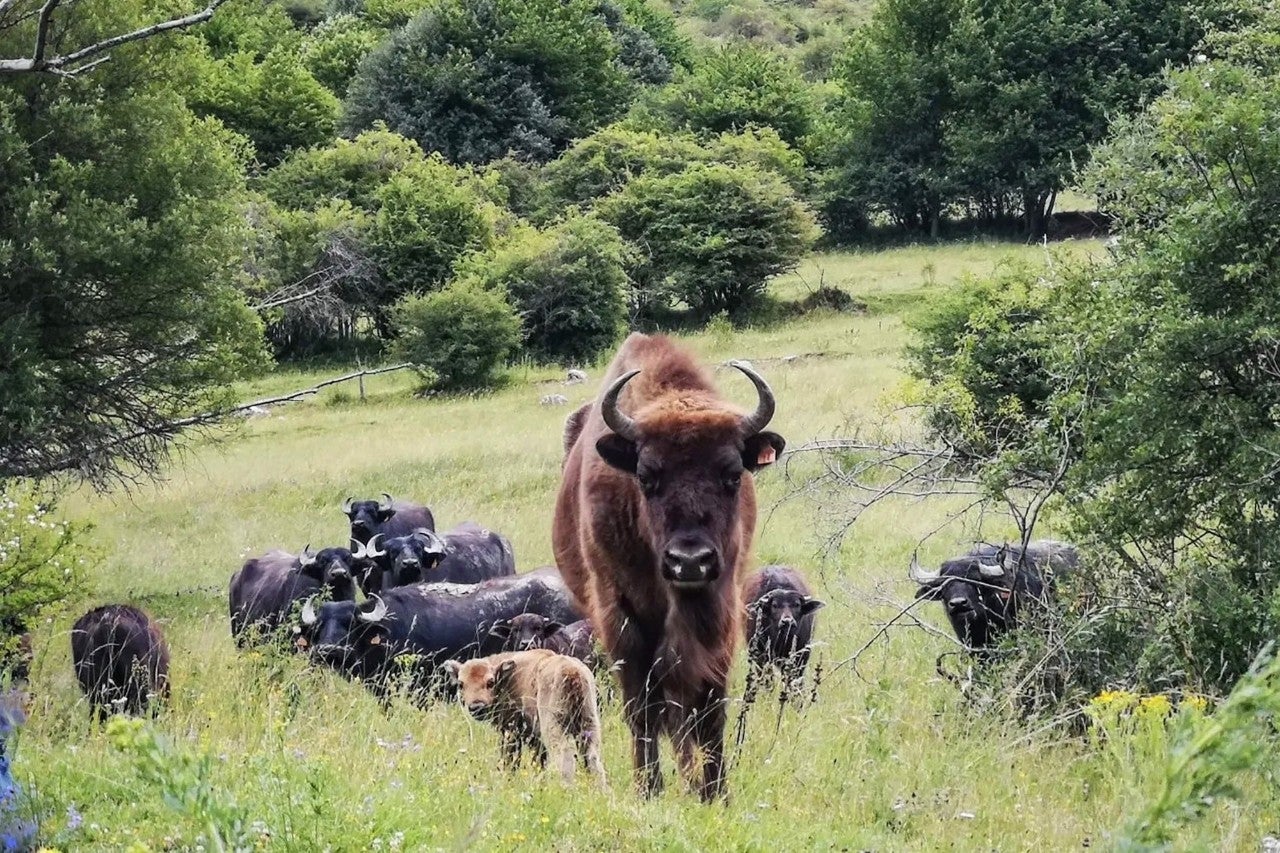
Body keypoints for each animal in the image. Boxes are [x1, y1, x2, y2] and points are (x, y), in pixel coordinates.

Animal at [445, 650, 609, 783]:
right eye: (461, 684)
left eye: (490, 682)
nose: (476, 706)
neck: (506, 680)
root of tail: (571, 671)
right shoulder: (536, 740)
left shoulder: (510, 731)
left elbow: (510, 760)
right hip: (589, 721)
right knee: (592, 758)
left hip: (554, 725)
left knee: (564, 756)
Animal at [550, 333, 778, 799]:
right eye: (646, 476)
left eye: (732, 475)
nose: (689, 562)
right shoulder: (621, 617)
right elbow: (642, 708)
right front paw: (649, 788)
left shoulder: (721, 612)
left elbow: (708, 708)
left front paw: (715, 792)